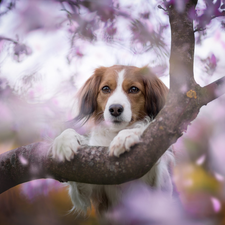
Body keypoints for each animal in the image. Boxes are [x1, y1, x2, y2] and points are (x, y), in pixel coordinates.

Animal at [50, 64, 174, 214]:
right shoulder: (88, 186)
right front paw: (64, 142)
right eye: (105, 88)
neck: (113, 133)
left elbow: (145, 125)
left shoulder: (155, 186)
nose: (115, 109)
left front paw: (126, 136)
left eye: (134, 89)